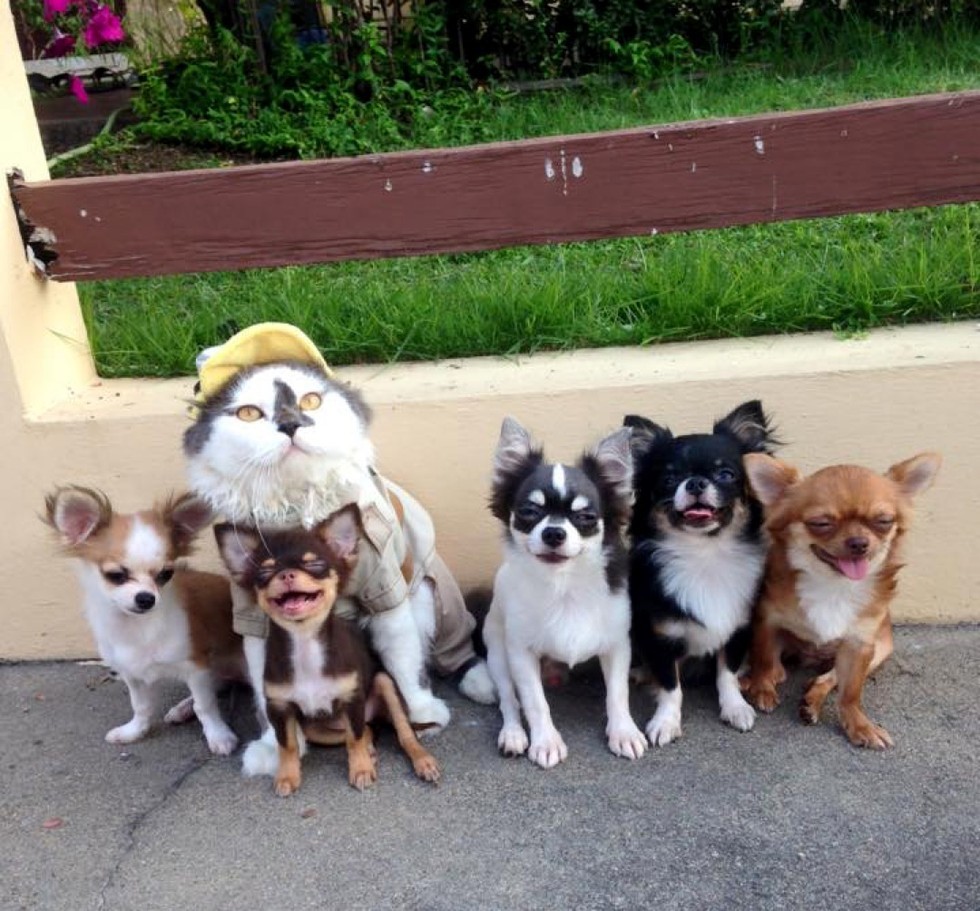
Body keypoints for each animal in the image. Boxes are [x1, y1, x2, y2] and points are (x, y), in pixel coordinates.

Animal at [184, 324, 494, 772]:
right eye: (249, 414)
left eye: (310, 400)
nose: (291, 425)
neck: (296, 513)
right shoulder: (252, 613)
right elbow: (264, 682)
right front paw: (272, 749)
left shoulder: (385, 589)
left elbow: (402, 661)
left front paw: (421, 716)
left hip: (434, 592)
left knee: (456, 645)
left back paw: (478, 679)